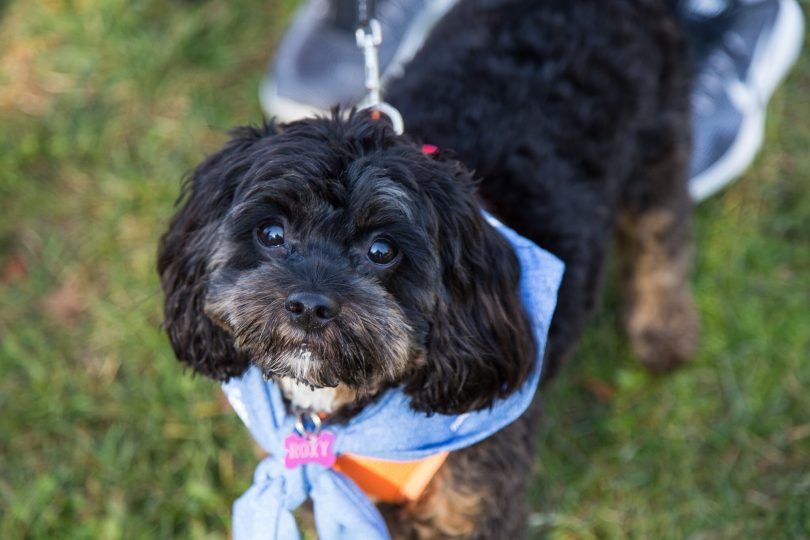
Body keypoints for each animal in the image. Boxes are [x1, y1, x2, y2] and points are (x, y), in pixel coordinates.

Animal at [158, 0, 696, 536]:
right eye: (271, 232)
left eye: (382, 250)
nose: (309, 305)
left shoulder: (473, 507)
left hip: (658, 141)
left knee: (663, 230)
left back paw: (663, 331)